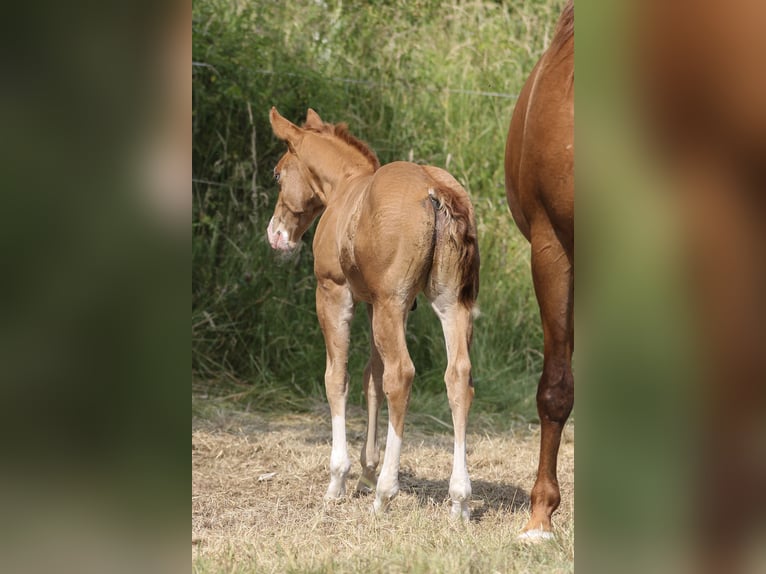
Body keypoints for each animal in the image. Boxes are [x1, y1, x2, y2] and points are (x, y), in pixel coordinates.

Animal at [267, 107, 480, 519]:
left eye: (278, 173)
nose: (276, 235)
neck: (345, 188)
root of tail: (434, 190)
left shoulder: (335, 293)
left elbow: (339, 377)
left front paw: (340, 479)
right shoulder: (375, 303)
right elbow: (372, 378)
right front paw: (366, 472)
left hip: (391, 303)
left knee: (402, 374)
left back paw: (386, 493)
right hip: (448, 303)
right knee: (458, 375)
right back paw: (459, 499)